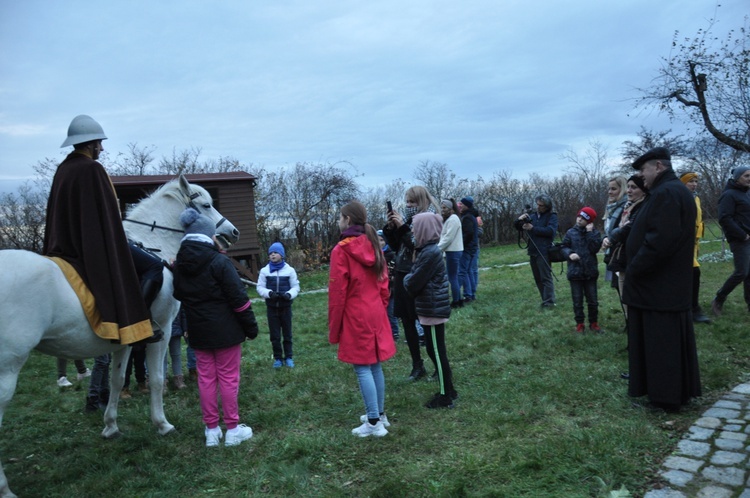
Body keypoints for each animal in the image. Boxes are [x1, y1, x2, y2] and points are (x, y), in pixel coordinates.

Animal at [0, 175, 239, 498]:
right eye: (205, 205)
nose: (232, 232)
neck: (154, 245)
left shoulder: (126, 338)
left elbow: (115, 379)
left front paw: (111, 426)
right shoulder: (162, 330)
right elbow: (157, 378)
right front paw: (162, 424)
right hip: (7, 368)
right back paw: (4, 488)